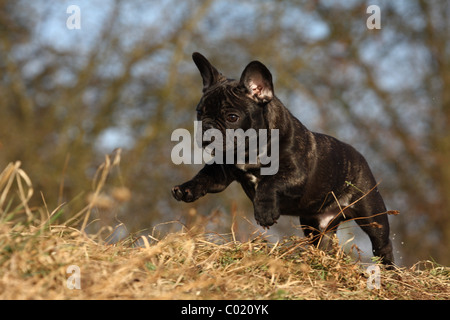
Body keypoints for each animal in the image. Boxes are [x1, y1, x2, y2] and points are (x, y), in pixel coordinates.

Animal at [172, 52, 394, 264]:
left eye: (232, 117)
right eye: (199, 113)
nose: (207, 128)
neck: (250, 149)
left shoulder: (296, 174)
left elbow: (269, 183)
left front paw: (264, 212)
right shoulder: (221, 172)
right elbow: (204, 176)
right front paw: (186, 188)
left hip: (371, 213)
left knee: (382, 243)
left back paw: (389, 271)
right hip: (314, 225)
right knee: (323, 244)